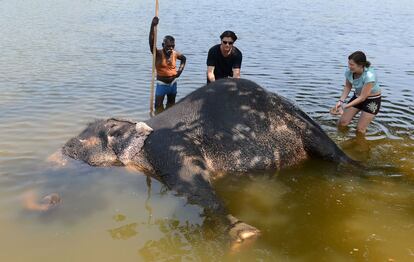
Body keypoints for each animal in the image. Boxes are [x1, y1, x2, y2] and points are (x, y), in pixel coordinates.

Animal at [58, 78, 356, 244]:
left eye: (82, 141)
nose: (62, 148)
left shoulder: (166, 145)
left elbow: (188, 180)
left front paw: (244, 235)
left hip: (299, 123)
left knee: (330, 151)